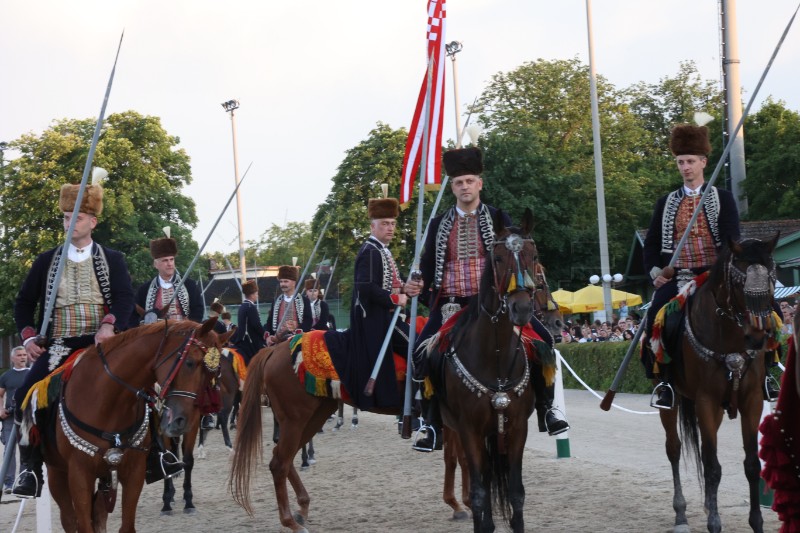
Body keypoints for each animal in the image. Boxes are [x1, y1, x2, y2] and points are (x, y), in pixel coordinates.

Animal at [25, 318, 230, 528]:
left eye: (215, 373)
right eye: (189, 363)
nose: (181, 421)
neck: (107, 401)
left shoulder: (134, 473)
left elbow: (127, 524)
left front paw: (186, 500)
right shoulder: (79, 476)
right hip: (58, 475)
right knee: (69, 519)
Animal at [428, 209, 540, 532]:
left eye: (533, 254)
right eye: (498, 258)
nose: (521, 309)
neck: (496, 356)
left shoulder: (517, 428)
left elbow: (516, 493)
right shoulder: (470, 429)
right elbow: (480, 493)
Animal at [652, 237, 780, 532]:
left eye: (771, 278)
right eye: (738, 284)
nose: (758, 336)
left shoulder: (751, 400)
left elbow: (751, 464)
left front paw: (756, 522)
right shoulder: (706, 402)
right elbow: (711, 466)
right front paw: (714, 523)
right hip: (673, 403)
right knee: (674, 449)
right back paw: (681, 514)